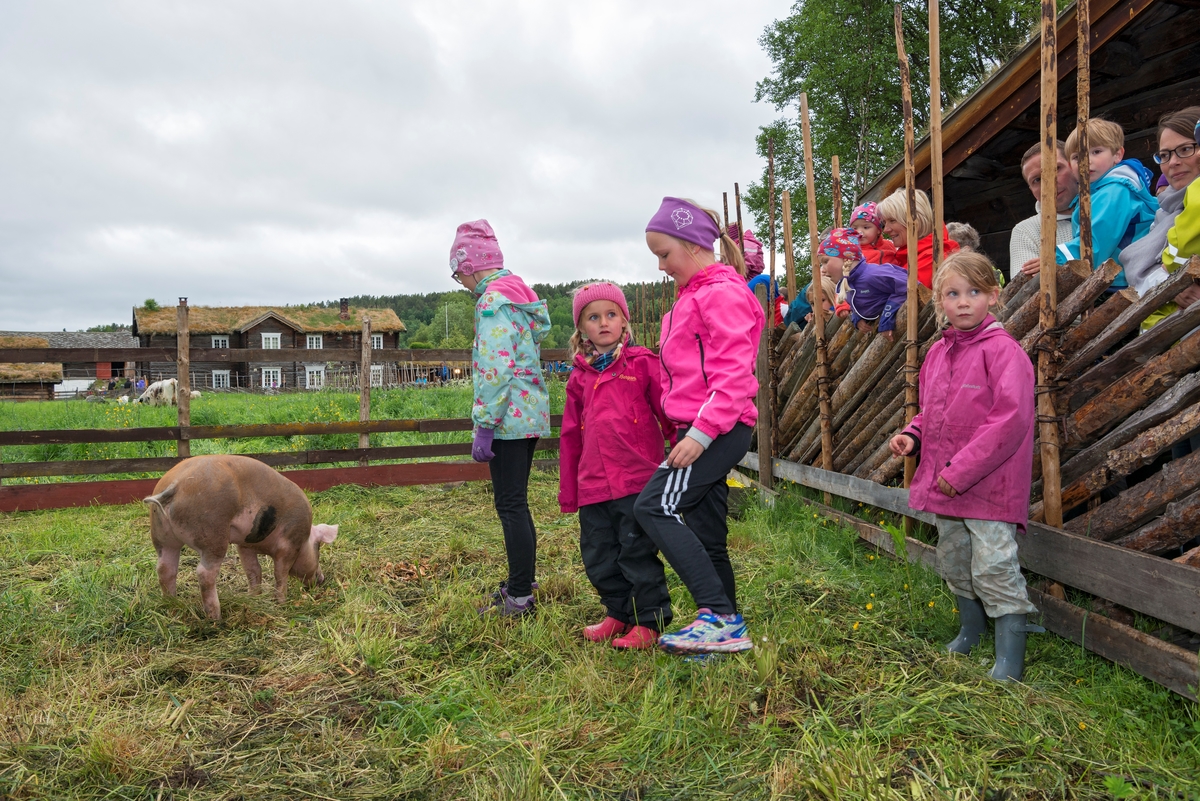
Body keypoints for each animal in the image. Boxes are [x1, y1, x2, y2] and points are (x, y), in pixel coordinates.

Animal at [148, 455, 343, 618]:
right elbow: (280, 573)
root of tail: (174, 485)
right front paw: (281, 603)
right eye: (318, 548)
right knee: (204, 573)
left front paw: (253, 597)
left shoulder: (245, 545)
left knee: (165, 569)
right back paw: (216, 617)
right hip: (212, 533)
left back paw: (172, 604)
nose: (321, 579)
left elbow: (254, 570)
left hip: (161, 535)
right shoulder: (289, 544)